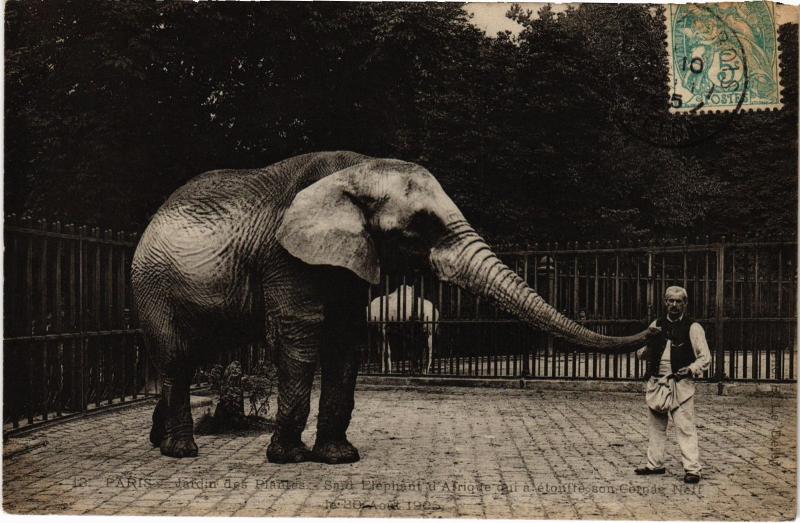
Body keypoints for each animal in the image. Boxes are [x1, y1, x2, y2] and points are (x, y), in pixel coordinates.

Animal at [131, 150, 655, 464]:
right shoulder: (285, 256)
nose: (654, 322)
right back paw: (181, 451)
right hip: (152, 283)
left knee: (193, 355)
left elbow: (344, 339)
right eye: (420, 225)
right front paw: (289, 458)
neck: (351, 170)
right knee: (177, 356)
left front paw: (339, 458)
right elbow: (301, 336)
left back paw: (159, 441)